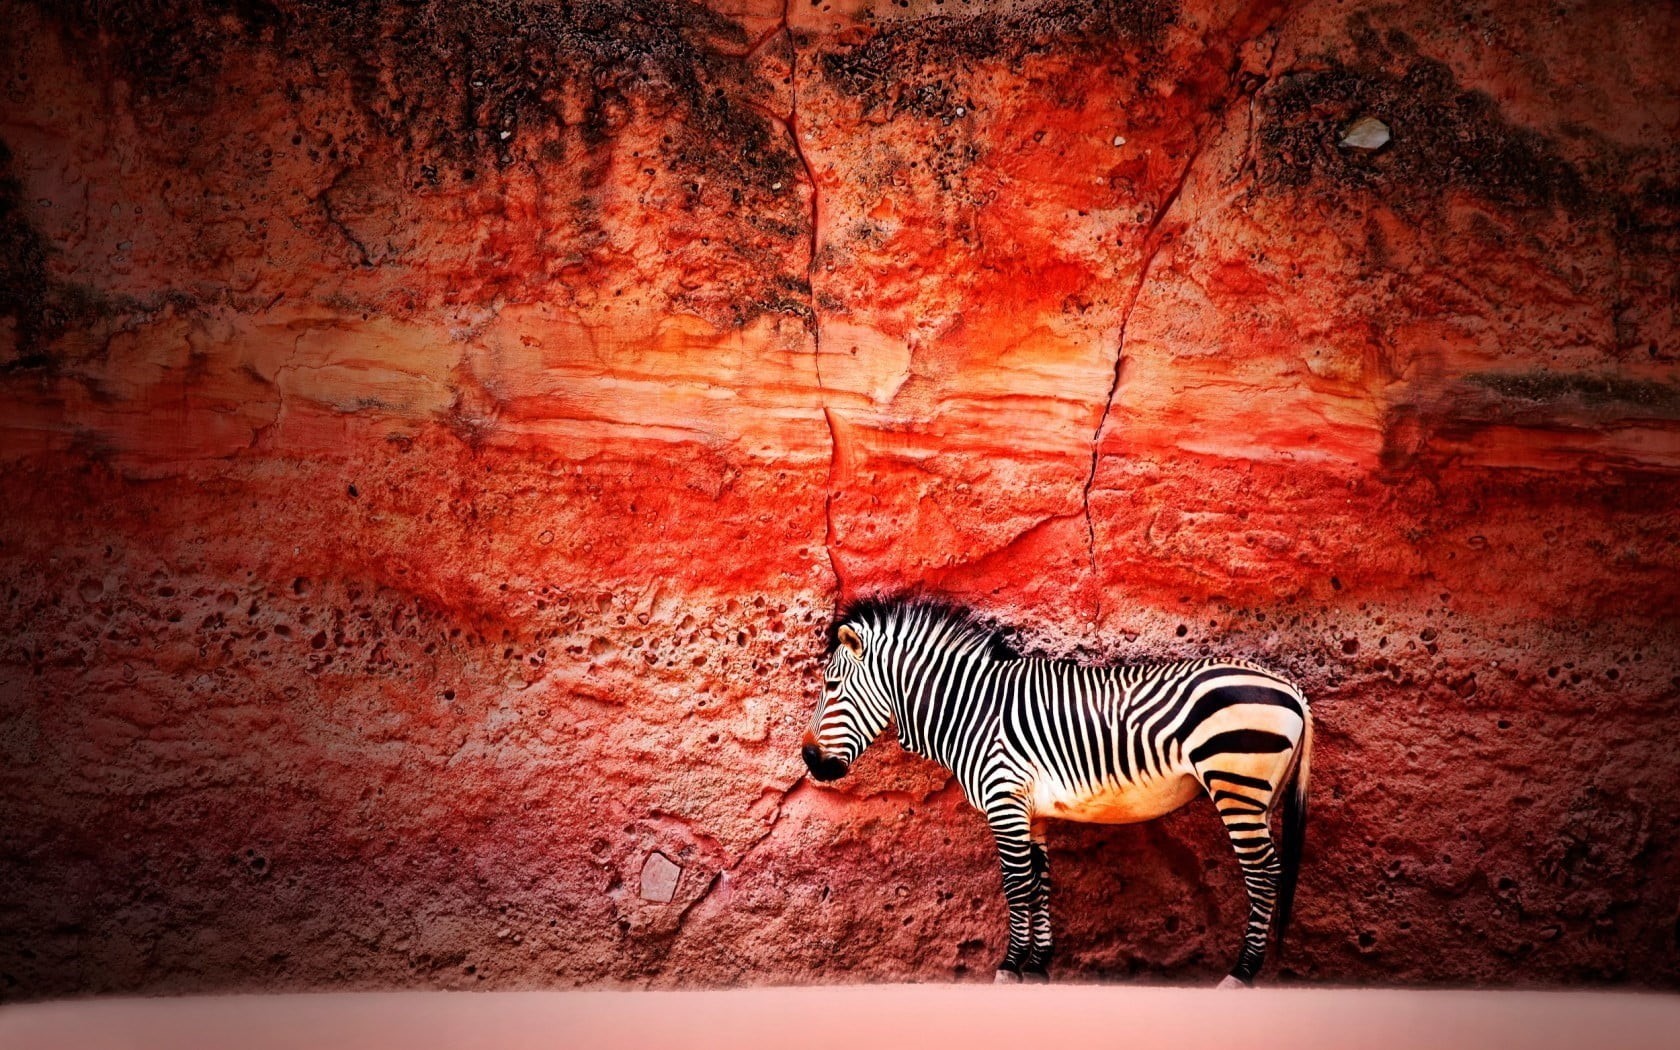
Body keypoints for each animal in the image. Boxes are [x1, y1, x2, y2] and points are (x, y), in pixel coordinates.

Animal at [800, 597, 1314, 987]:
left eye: (831, 684)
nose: (807, 758)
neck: (970, 708)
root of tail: (1288, 686)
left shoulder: (1004, 799)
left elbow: (1016, 884)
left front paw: (1009, 967)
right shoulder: (1032, 812)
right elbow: (1039, 883)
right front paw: (1037, 966)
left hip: (1237, 785)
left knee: (1264, 873)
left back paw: (1242, 973)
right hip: (1261, 794)